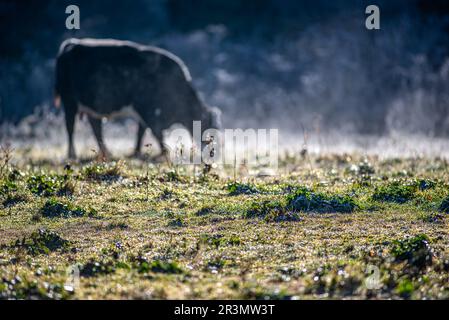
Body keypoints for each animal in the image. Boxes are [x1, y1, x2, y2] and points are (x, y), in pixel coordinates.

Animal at [54, 38, 220, 159]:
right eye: (210, 129)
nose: (213, 153)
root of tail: (73, 44)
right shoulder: (148, 111)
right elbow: (155, 132)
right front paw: (164, 152)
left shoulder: (145, 115)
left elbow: (141, 132)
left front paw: (136, 152)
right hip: (69, 102)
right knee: (70, 127)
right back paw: (72, 154)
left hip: (92, 108)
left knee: (96, 128)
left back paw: (107, 153)